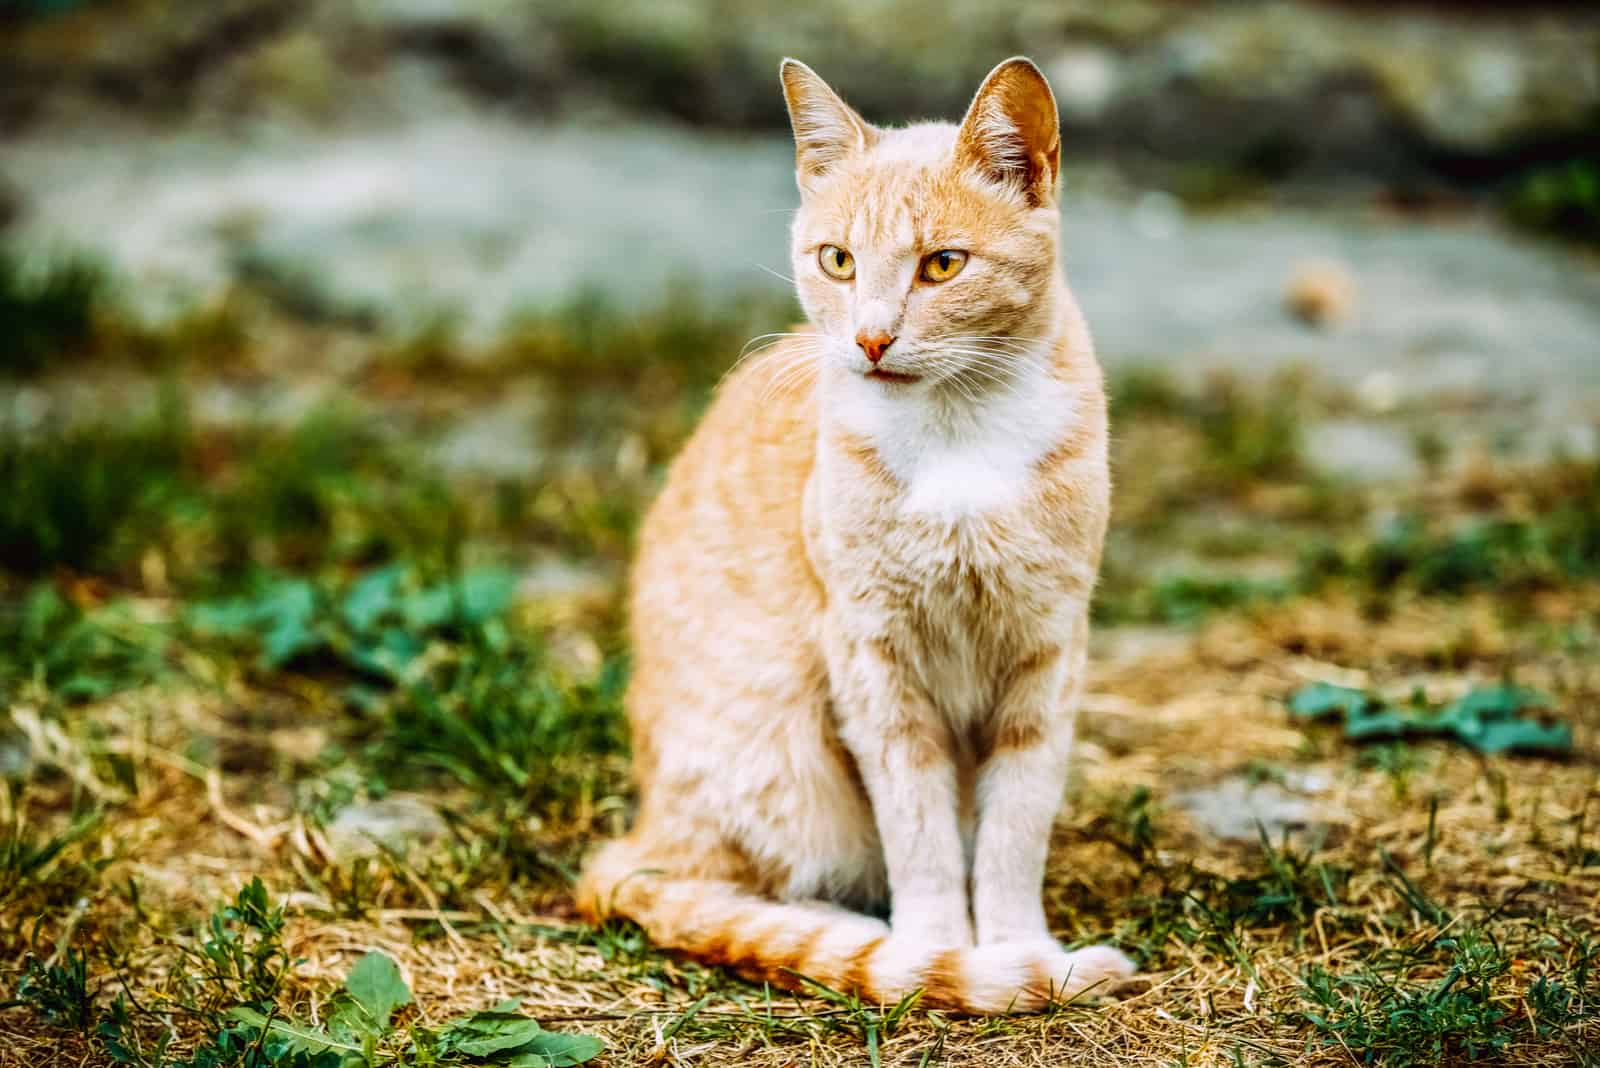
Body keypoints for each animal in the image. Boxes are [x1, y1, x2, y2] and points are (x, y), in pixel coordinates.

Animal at [579, 54, 1139, 1016]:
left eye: (943, 265)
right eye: (837, 260)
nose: (872, 339)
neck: (958, 434)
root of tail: (642, 830)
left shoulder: (1047, 651)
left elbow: (1014, 827)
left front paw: (1016, 946)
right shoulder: (874, 660)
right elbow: (919, 831)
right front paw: (941, 953)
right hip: (778, 748)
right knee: (729, 890)